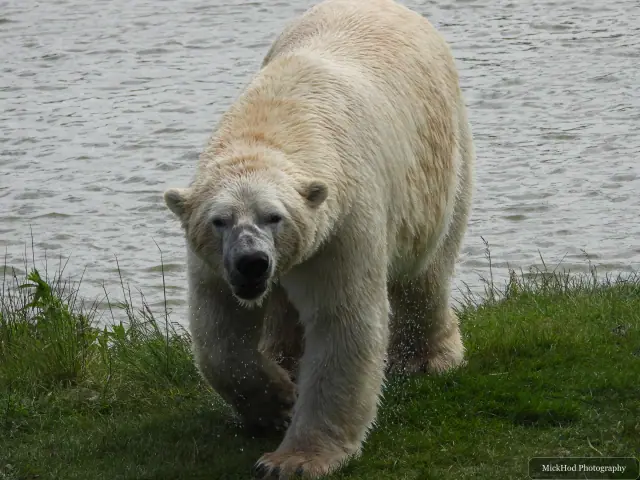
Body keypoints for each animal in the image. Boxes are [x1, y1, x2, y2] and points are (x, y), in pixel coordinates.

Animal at [163, 0, 475, 477]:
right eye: (220, 220)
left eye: (274, 217)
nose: (252, 263)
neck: (278, 116)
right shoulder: (213, 261)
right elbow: (220, 328)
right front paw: (276, 402)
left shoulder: (342, 225)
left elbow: (342, 320)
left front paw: (293, 459)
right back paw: (285, 361)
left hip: (443, 162)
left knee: (427, 271)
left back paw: (427, 357)